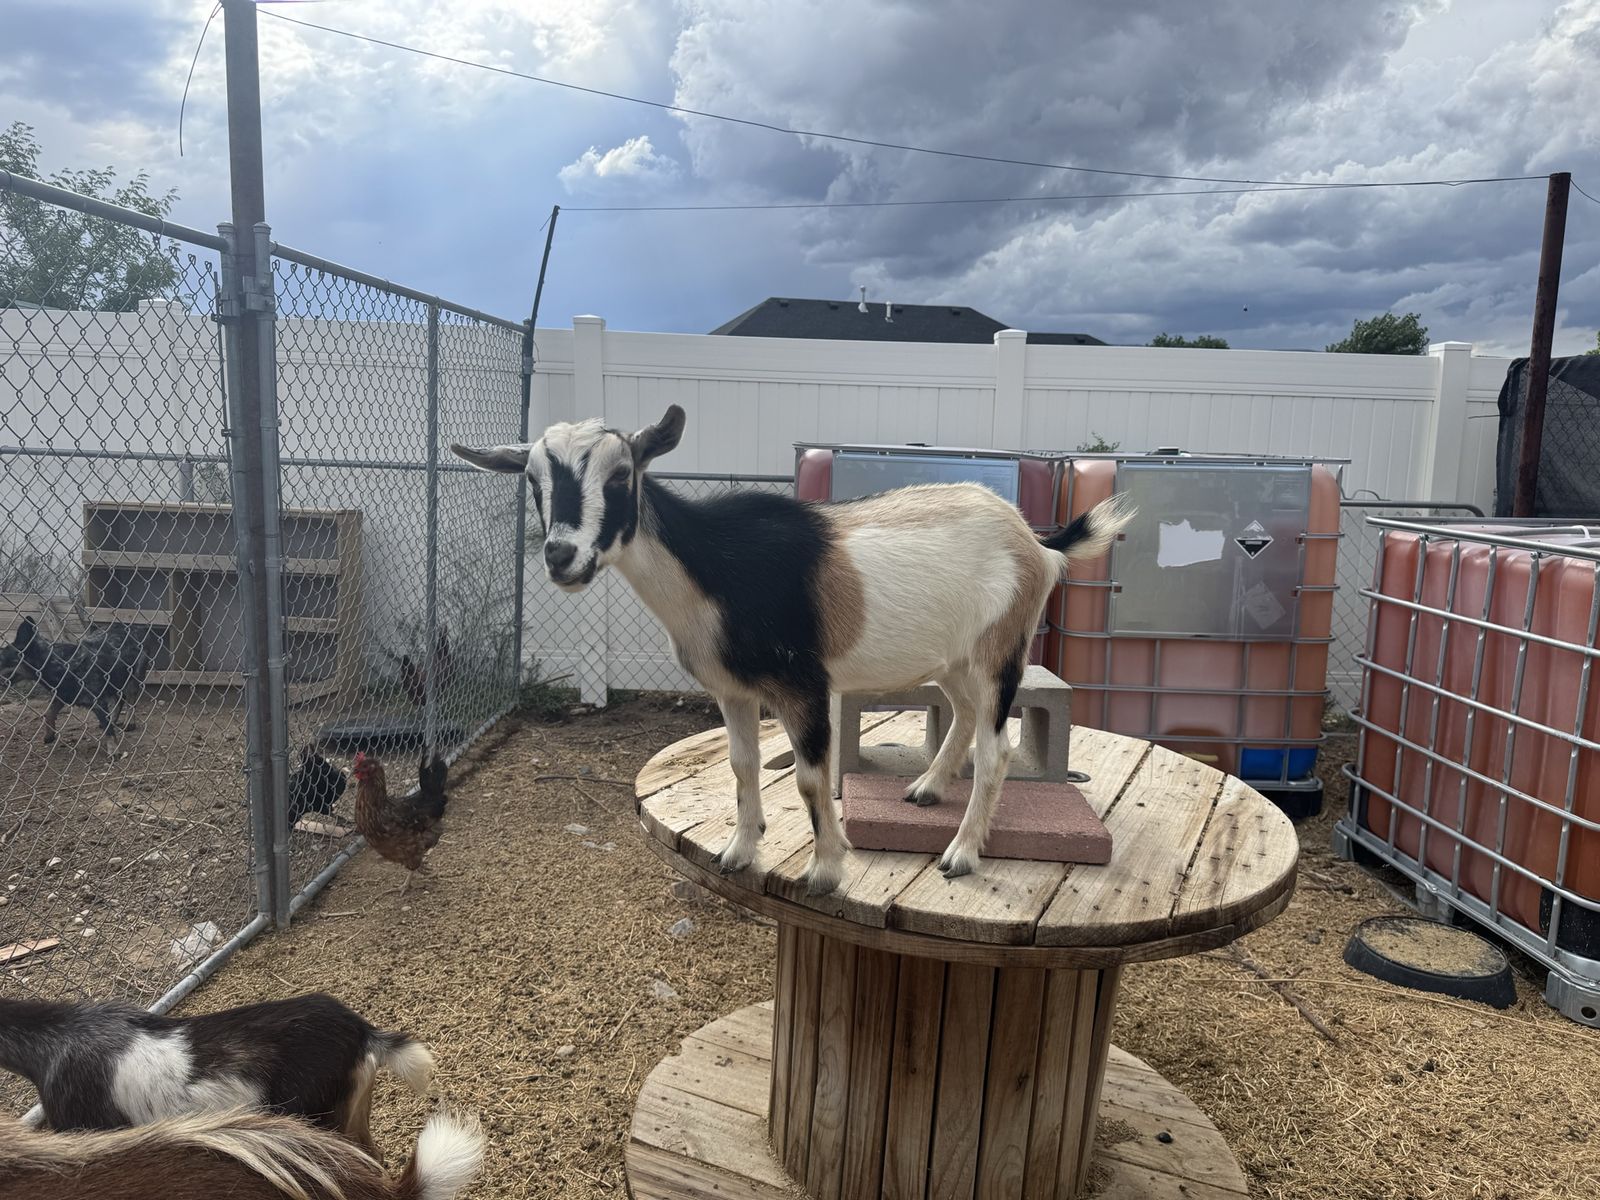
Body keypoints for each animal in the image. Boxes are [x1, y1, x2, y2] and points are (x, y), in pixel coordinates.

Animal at [0, 617, 149, 743]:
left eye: (2, 659)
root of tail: (131, 627)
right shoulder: (62, 696)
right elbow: (49, 713)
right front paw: (49, 735)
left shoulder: (98, 701)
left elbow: (109, 732)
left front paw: (114, 751)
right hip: (114, 680)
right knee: (120, 698)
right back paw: (113, 718)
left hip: (133, 677)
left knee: (131, 699)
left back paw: (129, 723)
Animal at [452, 405, 1133, 893]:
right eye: (533, 480)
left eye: (621, 474)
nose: (561, 557)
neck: (716, 568)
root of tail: (1035, 543)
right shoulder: (732, 689)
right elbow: (742, 764)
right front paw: (739, 850)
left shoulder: (804, 685)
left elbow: (809, 779)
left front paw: (826, 871)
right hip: (954, 660)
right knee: (963, 715)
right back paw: (926, 790)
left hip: (1000, 652)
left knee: (996, 749)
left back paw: (961, 854)